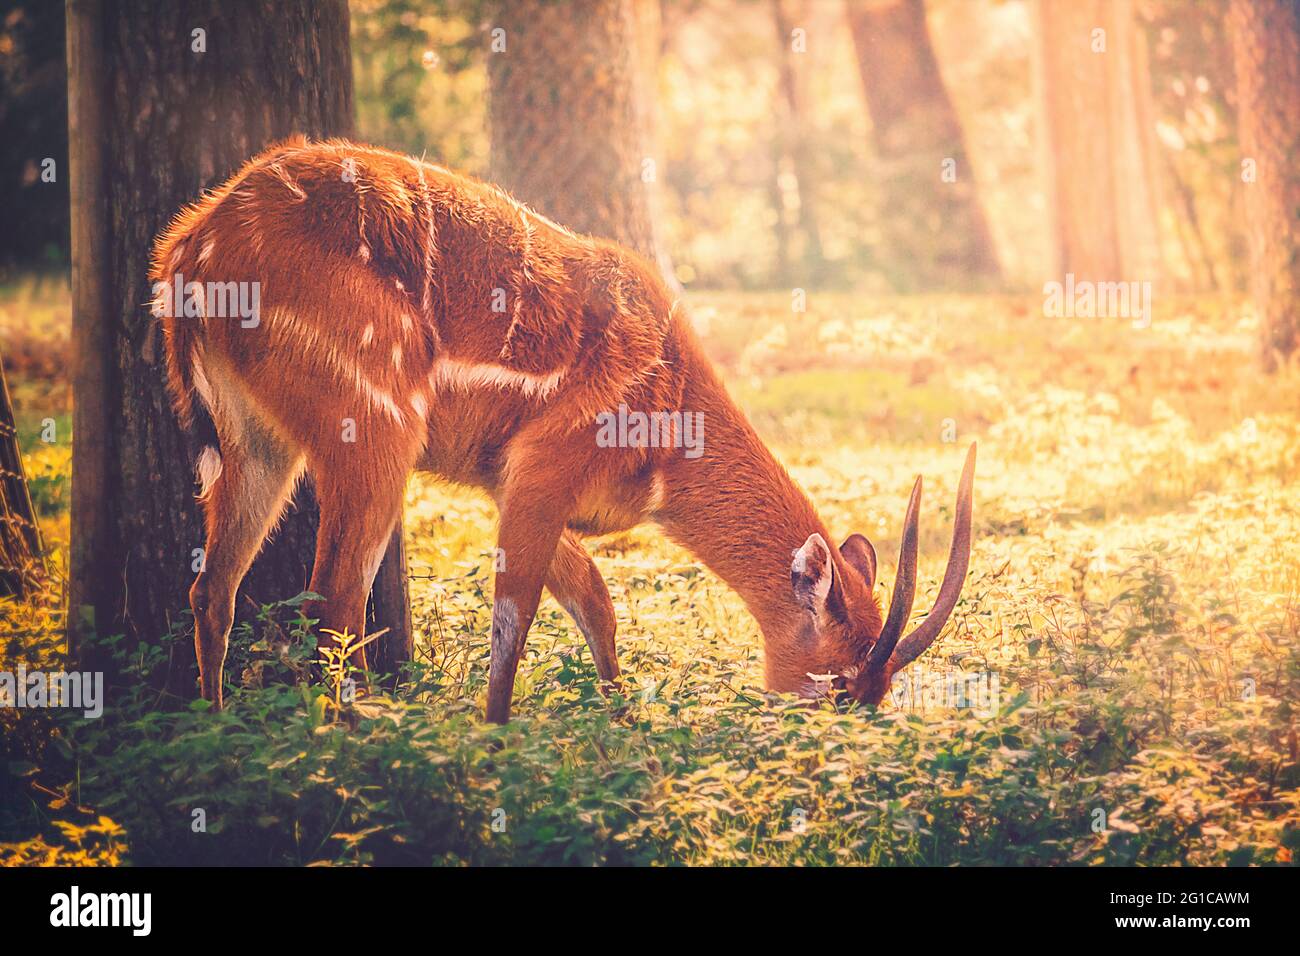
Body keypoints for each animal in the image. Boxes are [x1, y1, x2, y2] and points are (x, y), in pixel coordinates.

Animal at [152, 138, 977, 723]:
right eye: (841, 682)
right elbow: (515, 617)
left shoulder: (505, 480)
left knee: (212, 587)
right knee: (332, 600)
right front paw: (499, 744)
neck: (669, 431)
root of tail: (192, 245)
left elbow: (595, 601)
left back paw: (217, 729)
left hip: (257, 442)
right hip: (376, 424)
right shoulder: (542, 466)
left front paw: (623, 724)